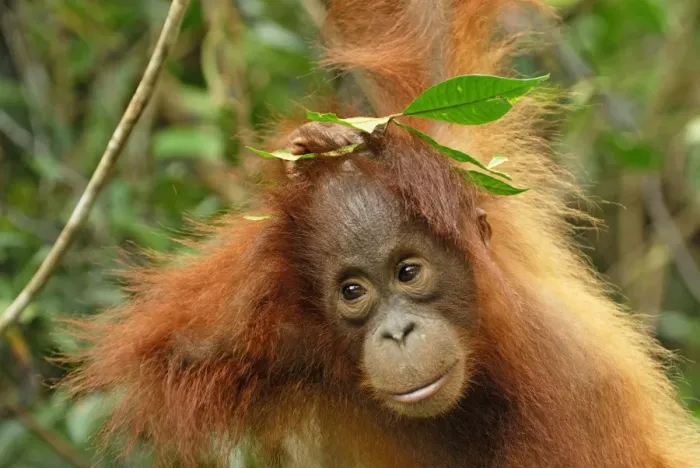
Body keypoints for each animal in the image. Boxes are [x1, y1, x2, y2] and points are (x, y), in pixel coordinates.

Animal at [64, 0, 700, 467]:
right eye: (353, 291)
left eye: (409, 272)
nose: (397, 332)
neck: (484, 362)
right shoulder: (296, 343)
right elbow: (175, 350)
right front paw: (312, 158)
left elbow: (432, 27)